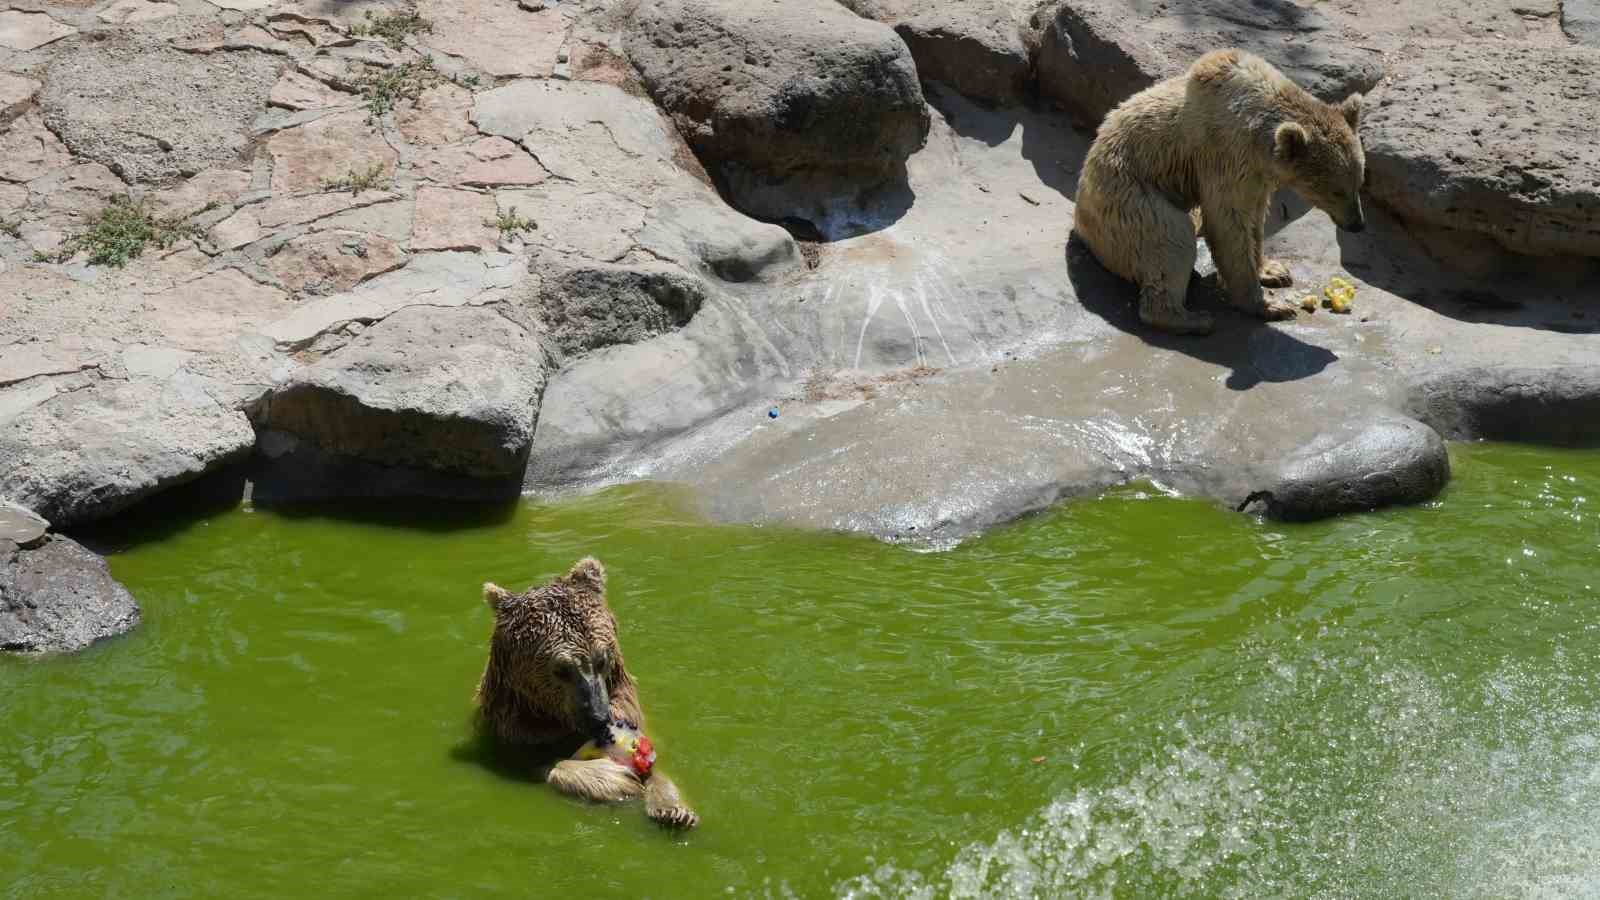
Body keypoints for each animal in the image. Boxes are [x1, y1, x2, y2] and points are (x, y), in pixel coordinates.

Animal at [476, 554, 697, 826]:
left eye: (601, 659)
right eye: (562, 669)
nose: (598, 717)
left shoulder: (626, 706)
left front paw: (673, 808)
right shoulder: (516, 728)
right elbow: (539, 762)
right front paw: (614, 778)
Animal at [1075, 47, 1363, 333]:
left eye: (1359, 182)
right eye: (1336, 191)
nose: (1357, 224)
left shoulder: (1256, 175)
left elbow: (1254, 219)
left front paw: (1273, 271)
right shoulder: (1225, 156)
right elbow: (1228, 222)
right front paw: (1269, 305)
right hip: (1126, 200)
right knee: (1169, 236)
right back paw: (1191, 318)